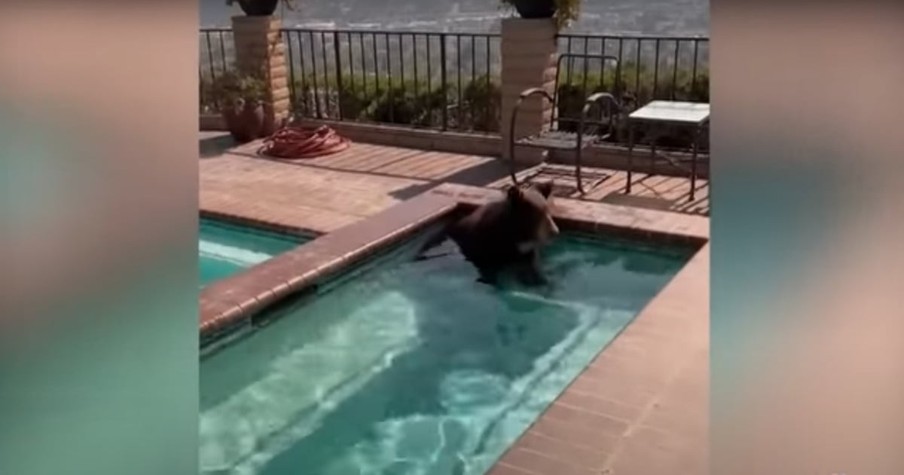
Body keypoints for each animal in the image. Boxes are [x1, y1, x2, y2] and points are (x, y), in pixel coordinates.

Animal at [422, 181, 560, 286]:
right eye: (538, 214)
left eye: (549, 212)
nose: (555, 232)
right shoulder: (485, 250)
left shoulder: (526, 249)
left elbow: (533, 261)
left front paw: (541, 278)